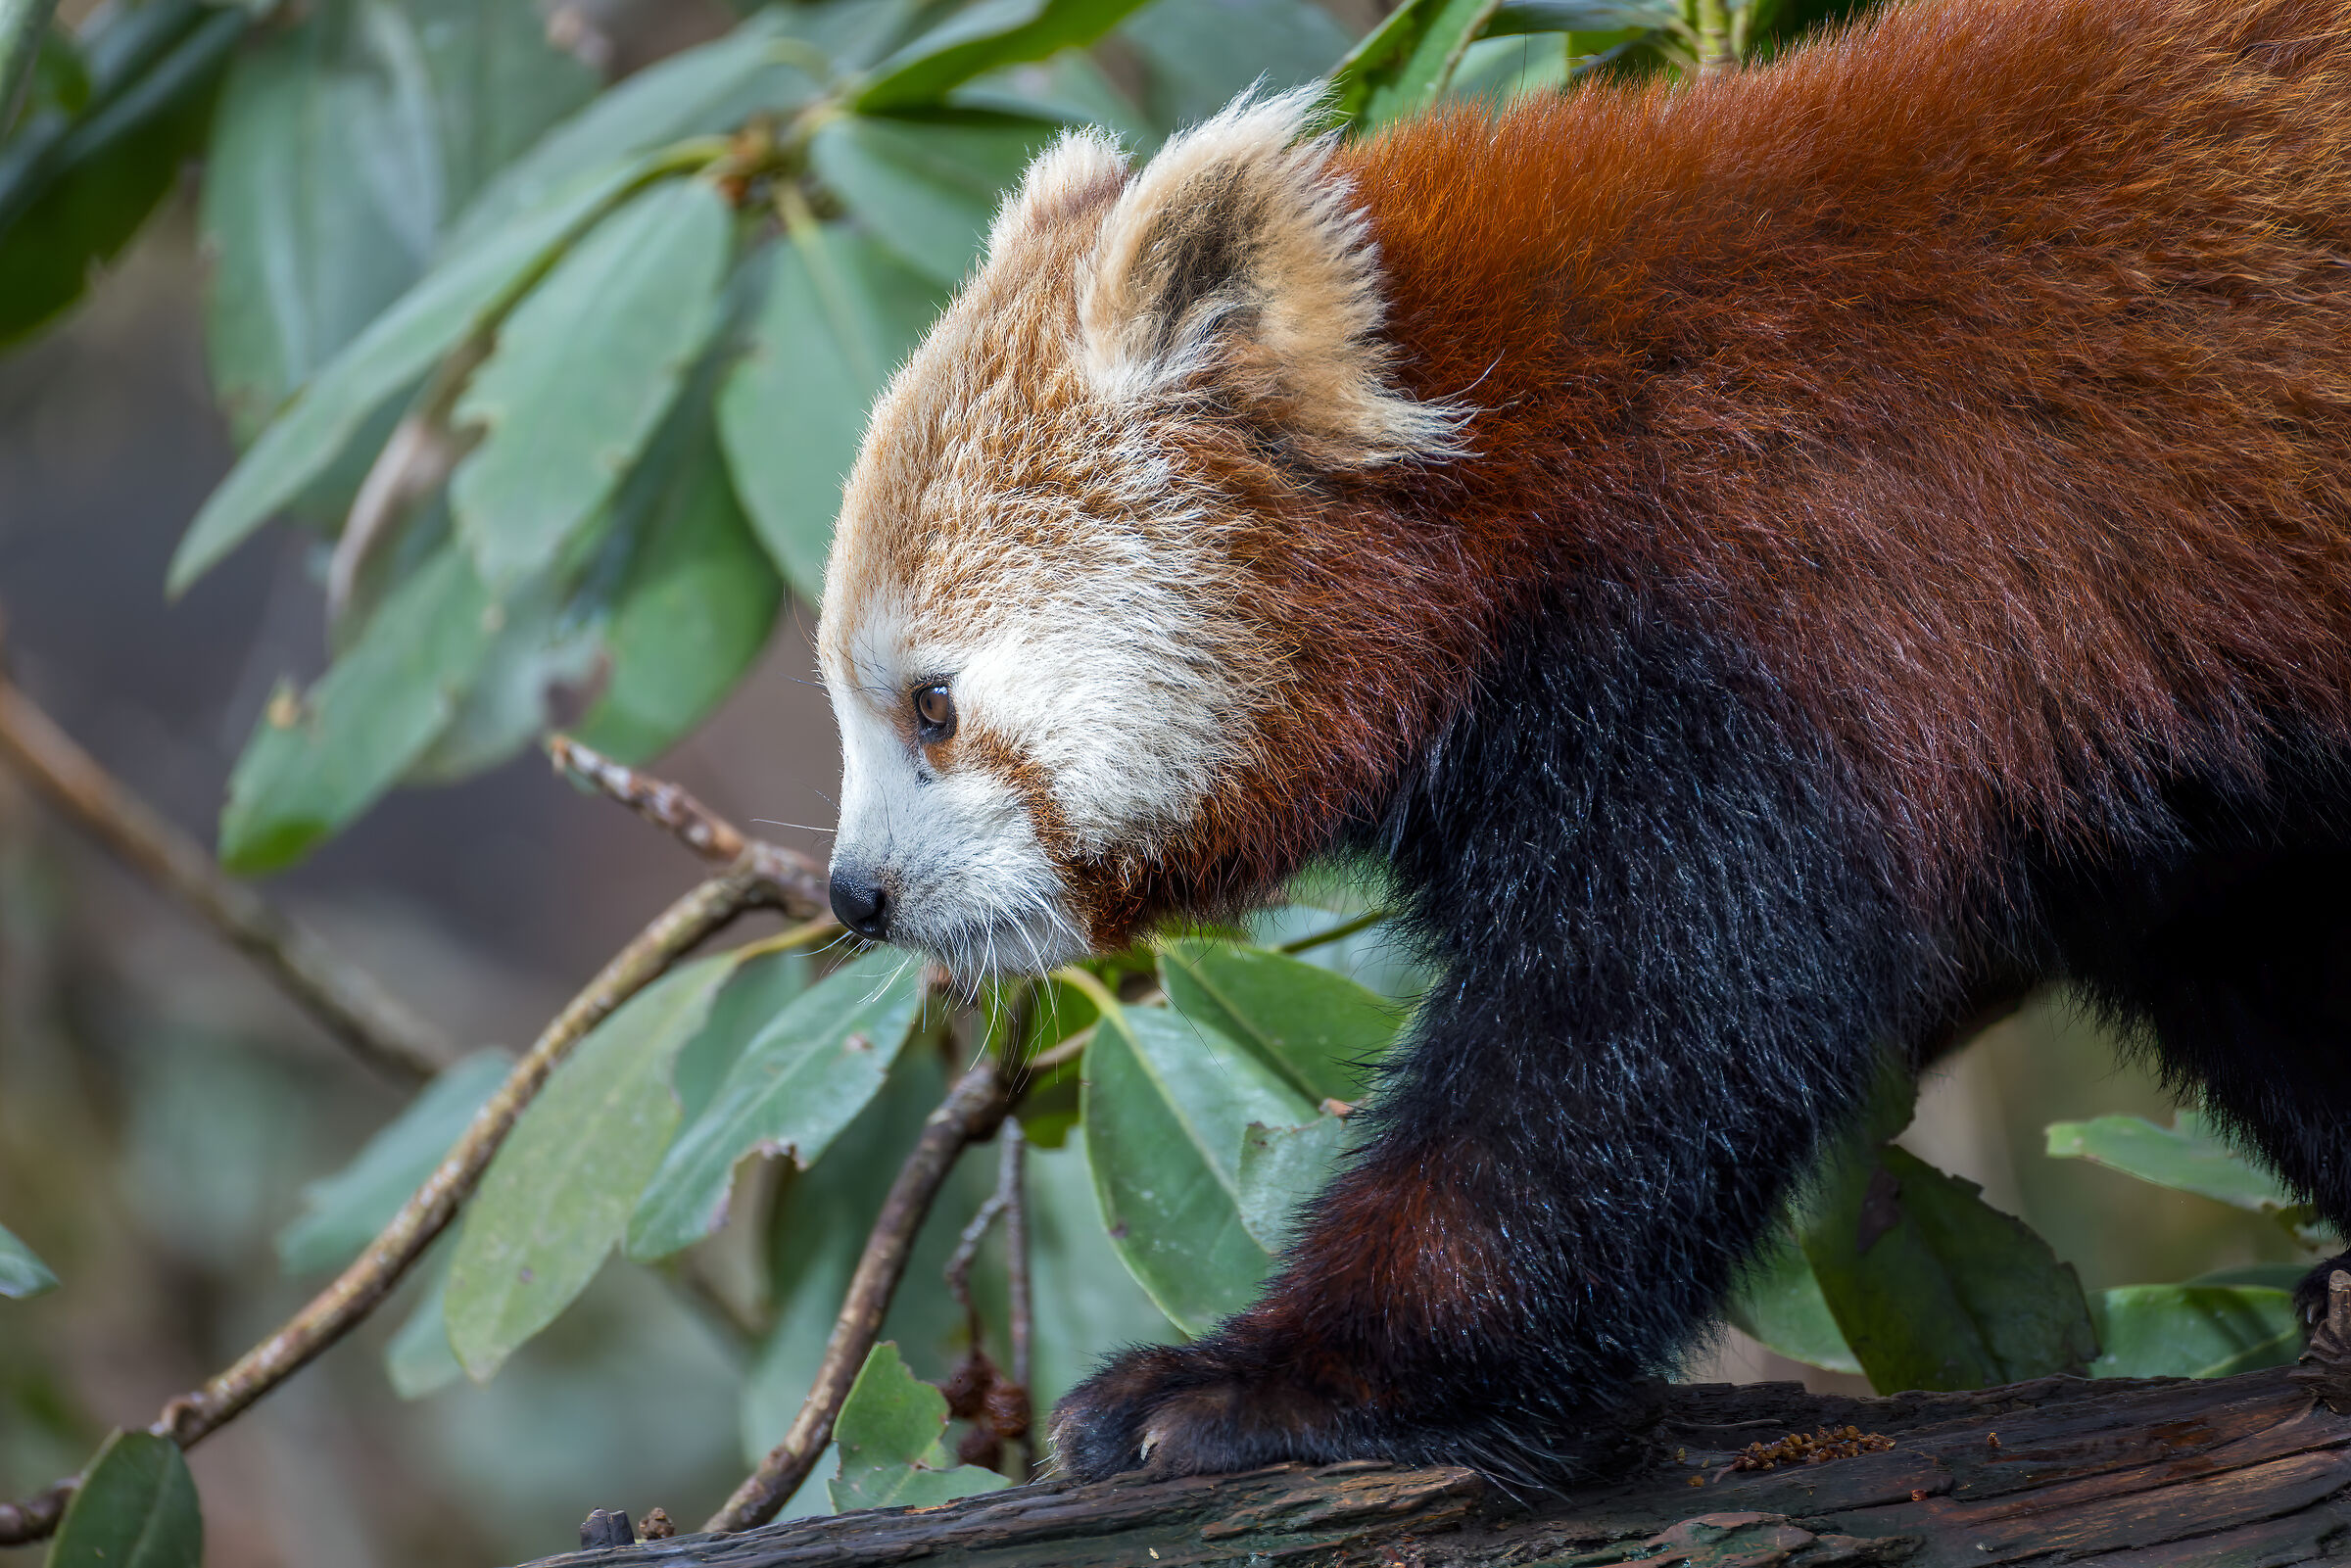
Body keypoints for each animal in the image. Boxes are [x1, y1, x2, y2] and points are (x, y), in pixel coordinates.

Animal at [815, 0, 2351, 1482]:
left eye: (933, 707)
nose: (856, 895)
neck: (1513, 452)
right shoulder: (2152, 741)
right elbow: (2263, 954)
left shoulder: (1759, 631)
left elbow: (1629, 1042)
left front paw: (1279, 1383)